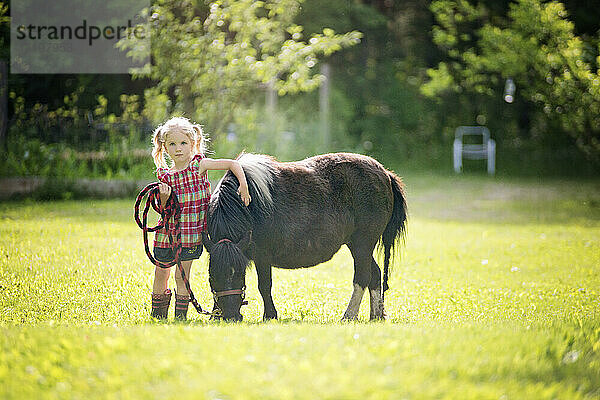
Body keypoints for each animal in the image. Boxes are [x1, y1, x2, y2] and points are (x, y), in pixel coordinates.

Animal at [203, 153, 408, 322]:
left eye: (239, 273)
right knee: (375, 274)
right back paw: (377, 314)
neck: (247, 206)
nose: (230, 316)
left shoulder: (262, 256)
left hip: (362, 244)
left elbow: (264, 285)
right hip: (358, 246)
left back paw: (349, 315)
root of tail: (385, 175)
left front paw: (270, 315)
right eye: (212, 276)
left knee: (363, 277)